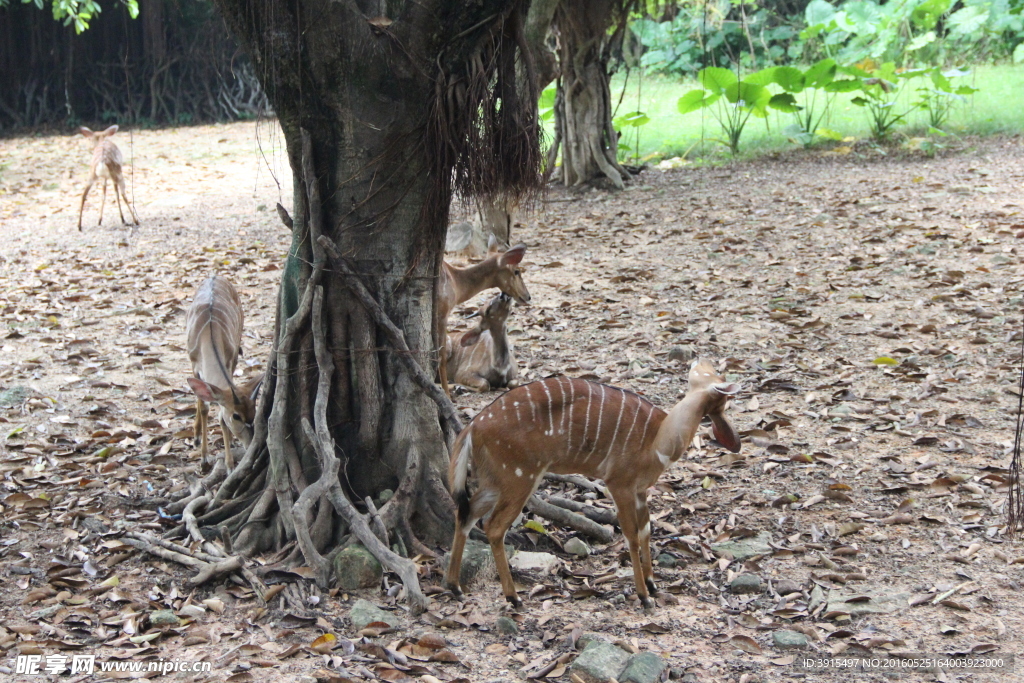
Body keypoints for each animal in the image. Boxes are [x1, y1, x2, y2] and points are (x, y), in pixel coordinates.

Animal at [185, 276, 263, 470]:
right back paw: (196, 436)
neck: (209, 335)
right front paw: (204, 459)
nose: (250, 444)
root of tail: (215, 275)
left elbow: (219, 416)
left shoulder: (231, 359)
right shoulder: (194, 365)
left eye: (254, 412)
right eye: (236, 416)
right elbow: (204, 406)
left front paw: (228, 465)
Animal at [436, 237, 530, 395]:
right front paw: (448, 395)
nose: (527, 296)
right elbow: (440, 353)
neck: (456, 283)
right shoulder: (443, 311)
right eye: (516, 271)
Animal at [444, 359, 742, 610]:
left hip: (496, 480)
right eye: (717, 377)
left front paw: (653, 584)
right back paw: (513, 597)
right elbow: (631, 535)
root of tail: (472, 427)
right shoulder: (619, 483)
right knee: (493, 526)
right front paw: (644, 595)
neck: (660, 439)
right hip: (519, 477)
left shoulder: (640, 490)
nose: (702, 360)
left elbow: (646, 530)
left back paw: (455, 587)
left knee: (466, 512)